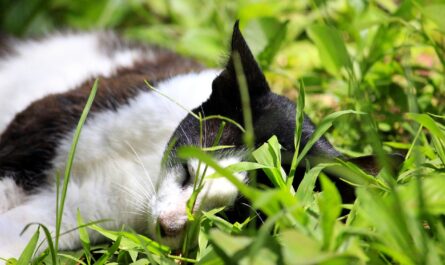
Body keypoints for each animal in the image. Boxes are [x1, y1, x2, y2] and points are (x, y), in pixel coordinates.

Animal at [0, 21, 388, 260]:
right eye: (187, 172)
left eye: (232, 215)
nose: (168, 225)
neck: (144, 171)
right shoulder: (45, 127)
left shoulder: (81, 210)